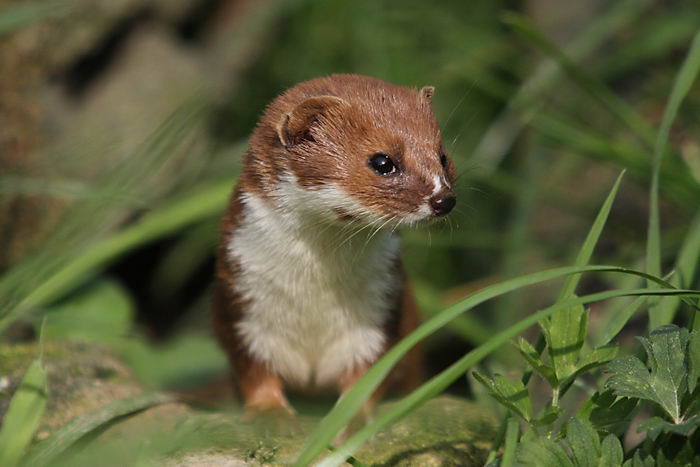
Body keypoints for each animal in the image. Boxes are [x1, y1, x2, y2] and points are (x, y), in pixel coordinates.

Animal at [212, 74, 454, 416]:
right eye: (383, 161)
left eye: (443, 156)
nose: (444, 199)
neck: (314, 295)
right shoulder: (238, 302)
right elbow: (253, 369)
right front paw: (270, 412)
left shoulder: (381, 310)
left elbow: (368, 373)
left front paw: (351, 418)